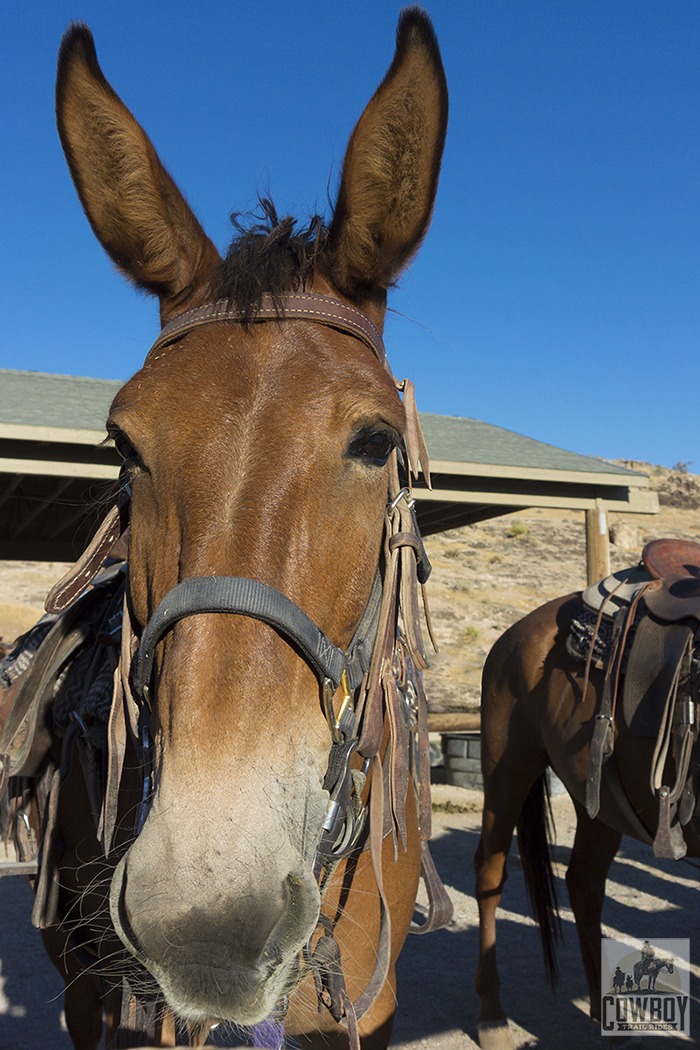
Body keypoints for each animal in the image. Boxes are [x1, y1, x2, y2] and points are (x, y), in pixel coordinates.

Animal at [474, 588, 696, 1045]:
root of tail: (517, 631)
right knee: (489, 875)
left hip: (600, 805)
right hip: (508, 769)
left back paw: (606, 1012)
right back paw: (492, 1016)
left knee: (584, 885)